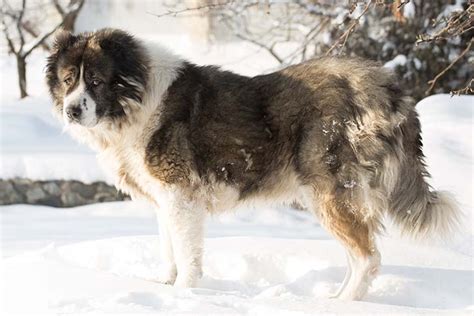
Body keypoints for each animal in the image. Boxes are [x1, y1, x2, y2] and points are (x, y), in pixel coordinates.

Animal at [46, 28, 462, 300]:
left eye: (96, 81)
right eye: (68, 80)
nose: (71, 110)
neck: (136, 100)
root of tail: (381, 84)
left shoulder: (181, 197)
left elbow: (186, 254)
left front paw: (183, 296)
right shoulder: (164, 200)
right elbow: (168, 250)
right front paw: (165, 287)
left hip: (330, 194)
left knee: (367, 258)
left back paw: (339, 305)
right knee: (358, 256)